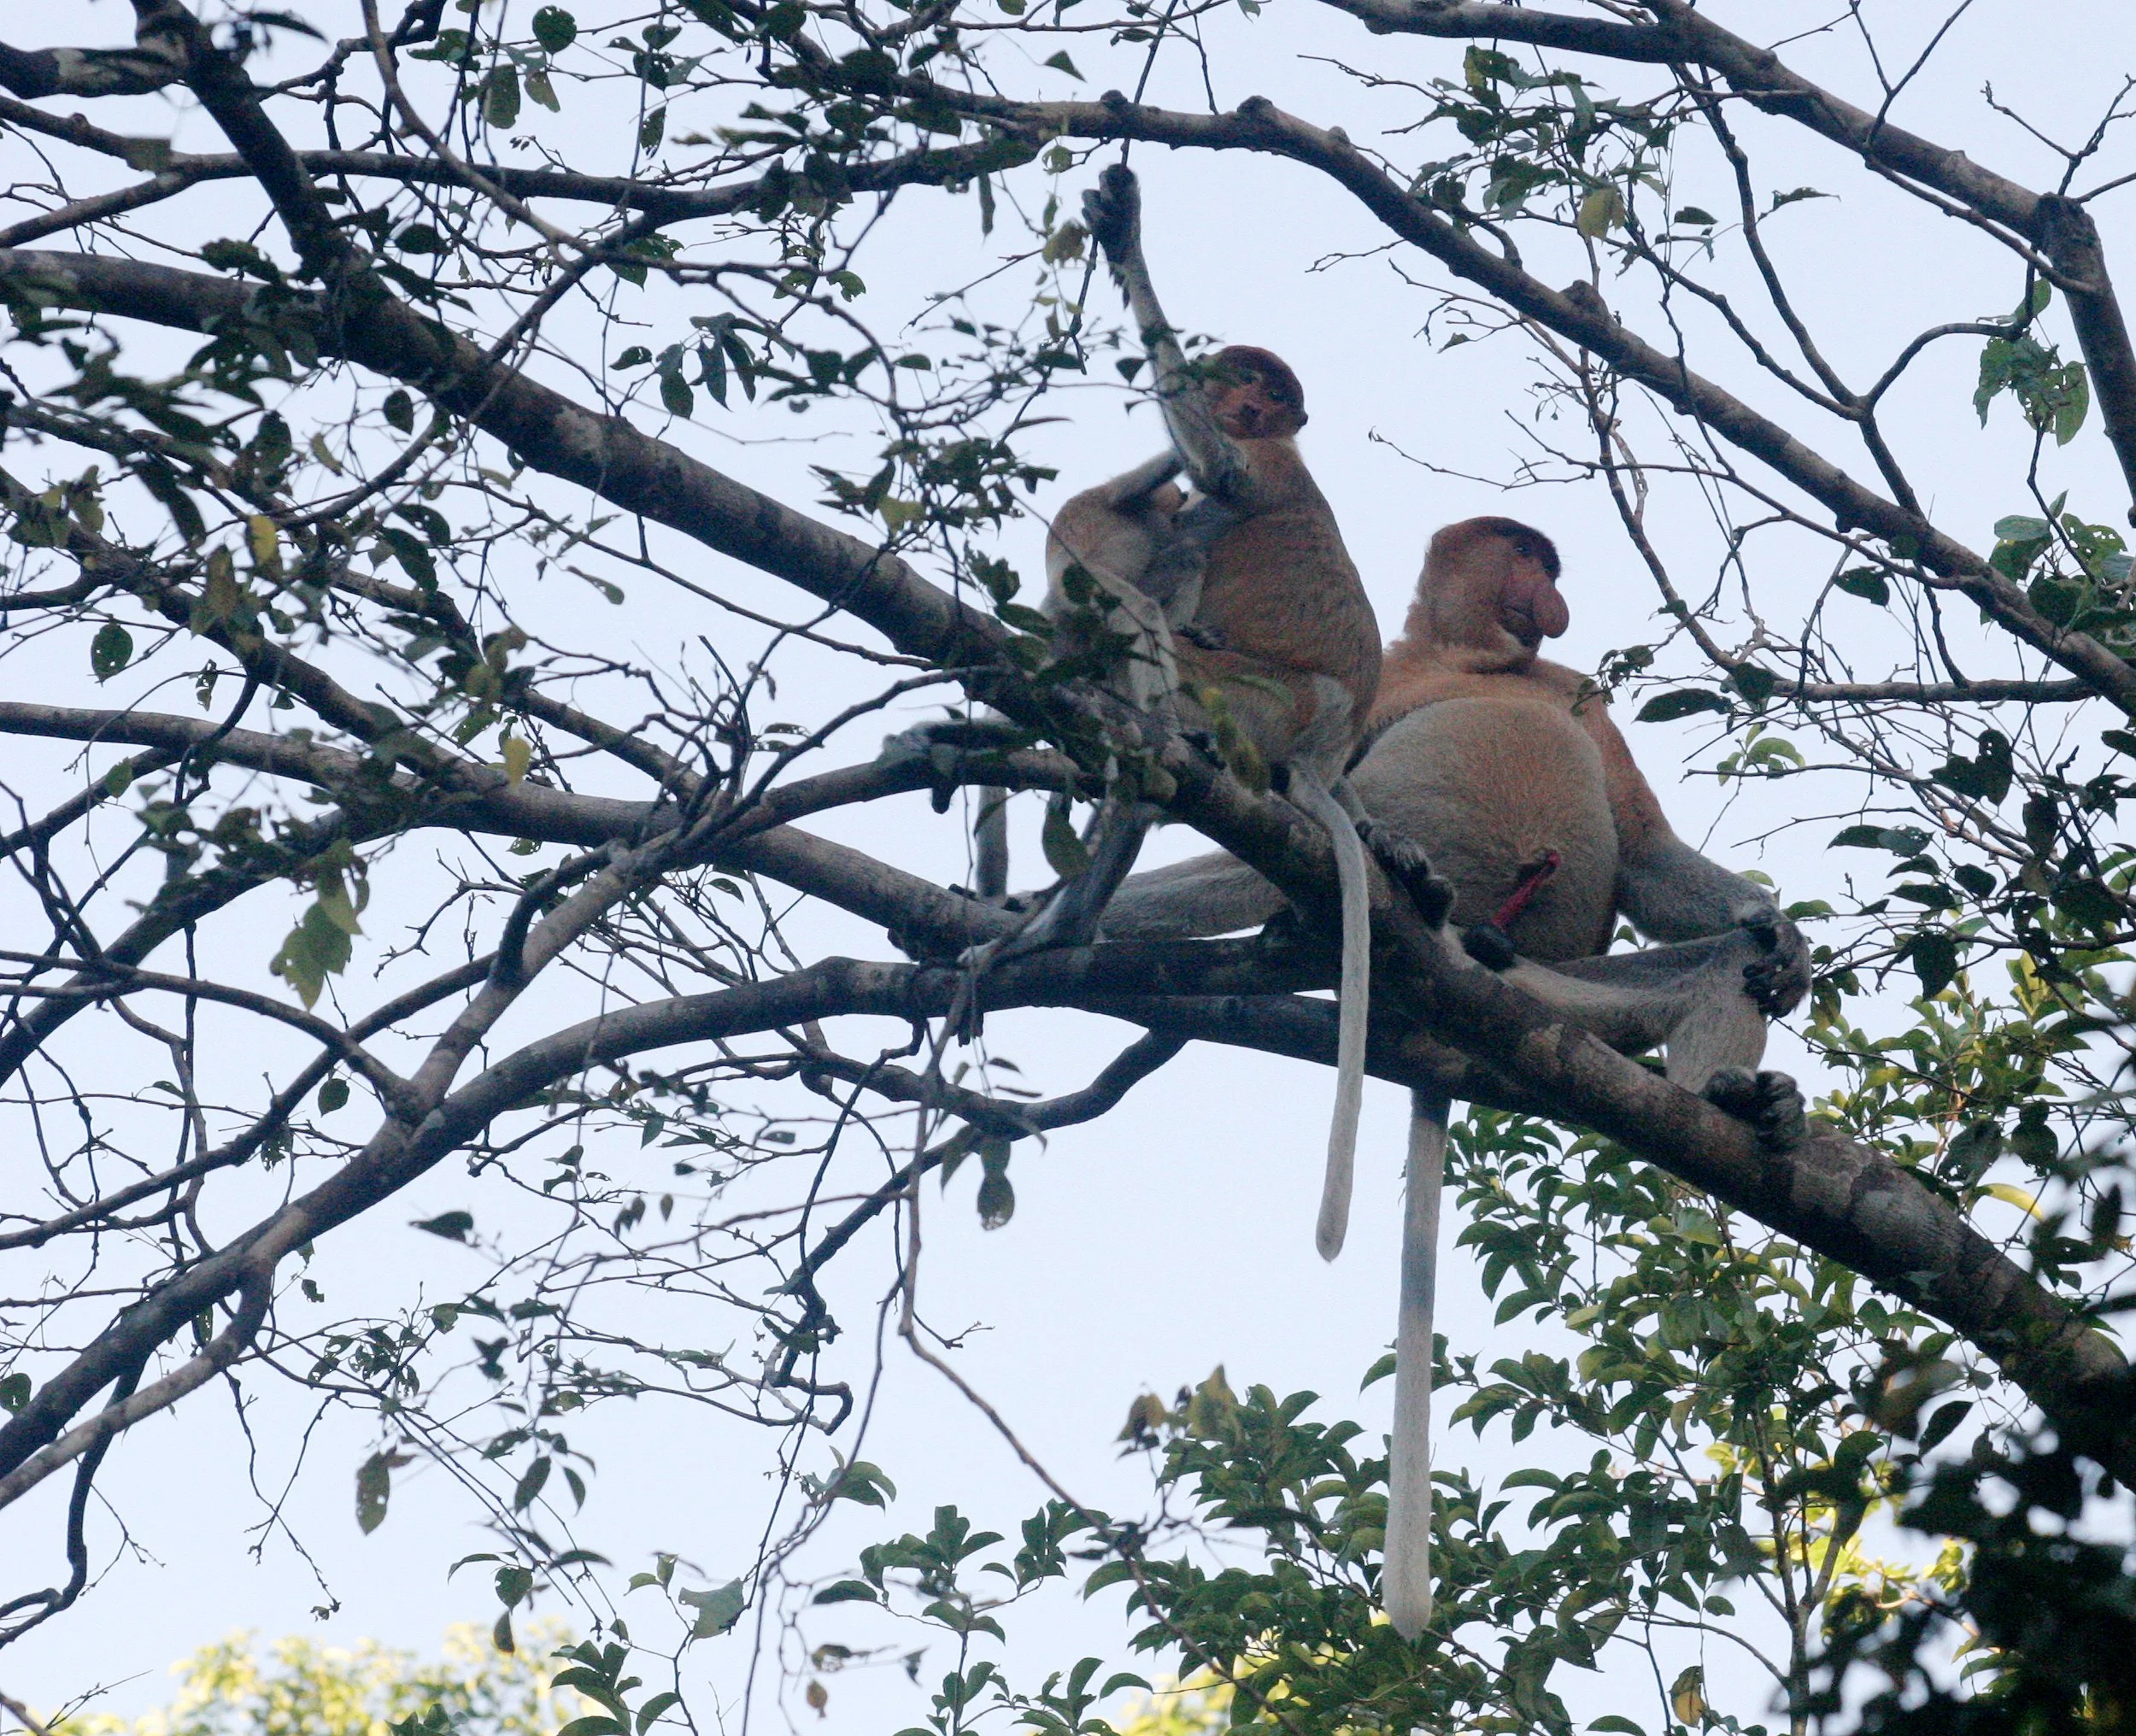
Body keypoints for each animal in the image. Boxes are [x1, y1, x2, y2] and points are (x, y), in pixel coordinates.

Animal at [1095, 515, 1809, 1638]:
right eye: (1526, 557)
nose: (1549, 595)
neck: (1475, 660)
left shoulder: (1572, 692)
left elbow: (1648, 852)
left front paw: (1782, 936)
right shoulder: (1388, 676)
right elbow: (1297, 772)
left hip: (1563, 996)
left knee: (1713, 971)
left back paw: (1735, 1098)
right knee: (1270, 858)